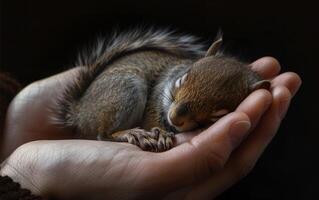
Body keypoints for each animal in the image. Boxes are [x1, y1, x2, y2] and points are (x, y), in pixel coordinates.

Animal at [54, 28, 270, 152]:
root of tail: (80, 114)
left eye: (219, 114)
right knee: (103, 135)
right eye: (181, 79)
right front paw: (163, 134)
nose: (175, 117)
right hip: (125, 90)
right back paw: (133, 134)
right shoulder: (156, 99)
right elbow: (152, 118)